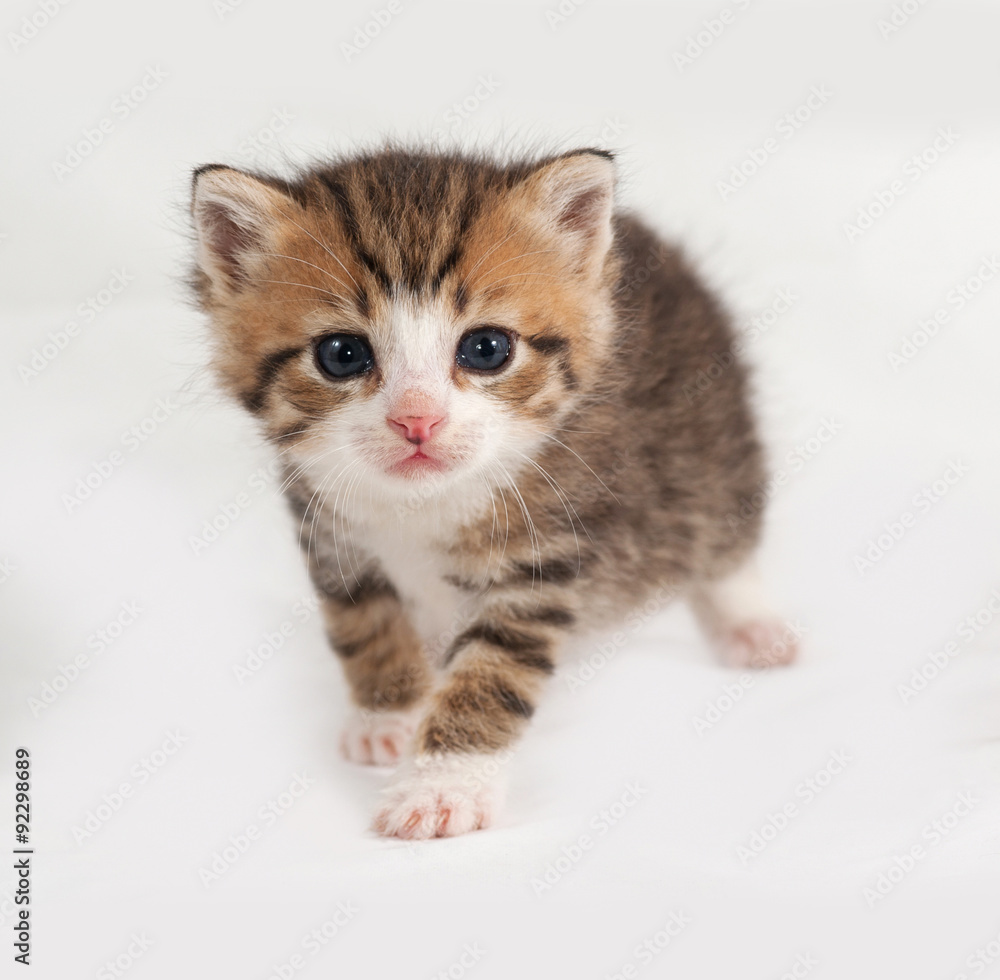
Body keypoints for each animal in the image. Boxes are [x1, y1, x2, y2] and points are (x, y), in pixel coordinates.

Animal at [188, 145, 796, 844]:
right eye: (341, 354)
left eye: (487, 348)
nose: (417, 421)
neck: (422, 505)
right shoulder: (329, 531)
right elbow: (364, 623)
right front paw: (387, 713)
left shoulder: (541, 553)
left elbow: (490, 674)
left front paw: (441, 786)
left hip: (714, 448)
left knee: (724, 535)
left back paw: (750, 624)